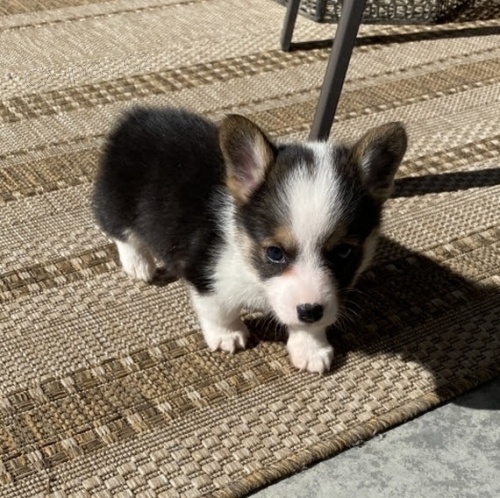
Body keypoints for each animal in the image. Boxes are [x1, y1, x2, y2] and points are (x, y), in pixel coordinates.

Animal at [94, 108, 406, 374]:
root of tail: (137, 116)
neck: (253, 272)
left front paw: (311, 347)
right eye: (275, 253)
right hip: (117, 200)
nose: (310, 311)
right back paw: (138, 264)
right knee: (120, 231)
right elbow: (218, 310)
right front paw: (228, 335)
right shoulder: (204, 274)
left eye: (343, 251)